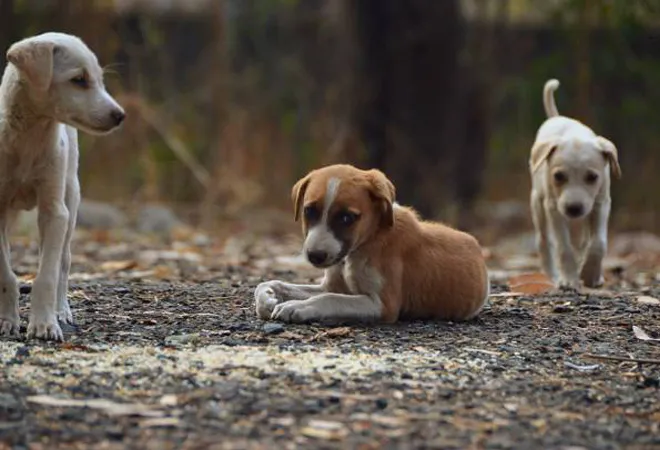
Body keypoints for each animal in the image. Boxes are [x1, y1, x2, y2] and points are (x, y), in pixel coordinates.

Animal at [0, 32, 125, 342]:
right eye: (79, 79)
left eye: (100, 79)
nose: (121, 115)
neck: (29, 138)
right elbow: (6, 274)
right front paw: (7, 321)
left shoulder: (55, 211)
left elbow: (47, 274)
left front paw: (45, 325)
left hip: (71, 199)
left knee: (63, 262)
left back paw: (61, 311)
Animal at [253, 164, 490, 324]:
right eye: (309, 211)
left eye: (347, 218)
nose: (315, 256)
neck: (368, 241)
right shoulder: (332, 285)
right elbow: (269, 284)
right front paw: (267, 299)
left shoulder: (383, 305)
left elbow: (329, 299)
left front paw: (297, 307)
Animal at [528, 79, 620, 290]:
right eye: (558, 176)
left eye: (592, 177)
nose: (573, 208)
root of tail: (557, 117)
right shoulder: (554, 208)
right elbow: (564, 247)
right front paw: (569, 279)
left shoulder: (601, 203)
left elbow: (598, 243)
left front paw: (591, 274)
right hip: (538, 203)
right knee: (543, 241)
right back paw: (553, 275)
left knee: (582, 241)